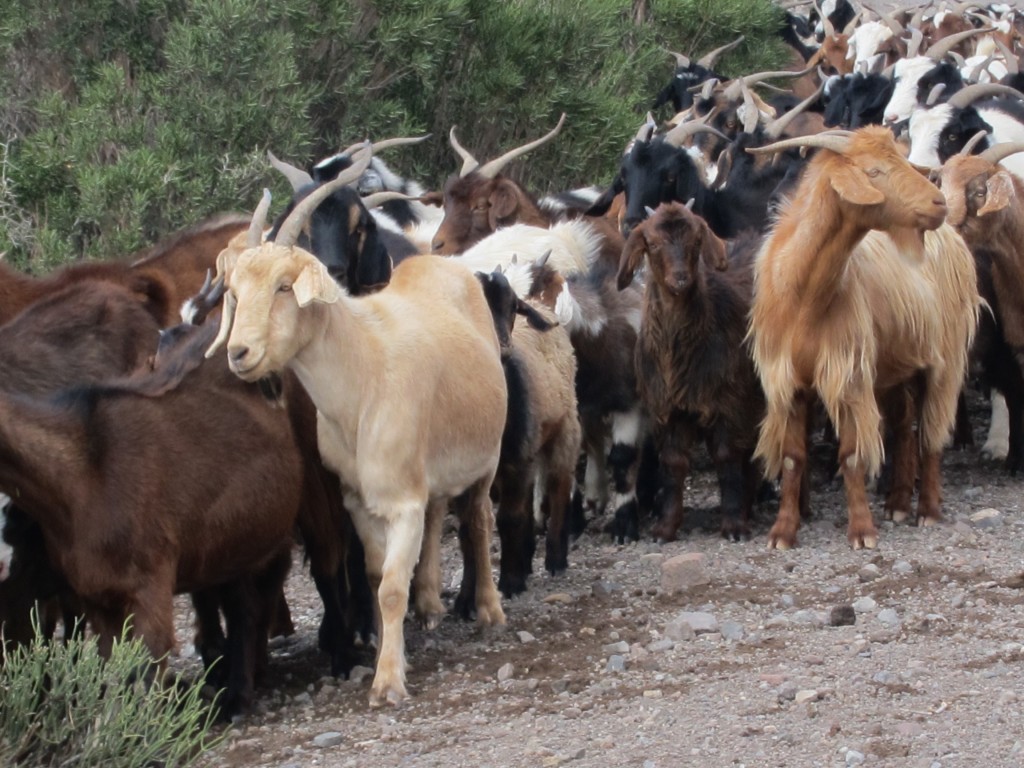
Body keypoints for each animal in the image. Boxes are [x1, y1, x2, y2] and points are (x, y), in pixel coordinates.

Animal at [206, 151, 507, 708]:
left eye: (285, 286)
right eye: (235, 292)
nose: (240, 353)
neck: (364, 368)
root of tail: (440, 262)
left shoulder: (401, 501)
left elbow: (389, 587)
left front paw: (387, 682)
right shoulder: (356, 497)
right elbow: (372, 575)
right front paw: (394, 653)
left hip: (488, 454)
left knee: (478, 519)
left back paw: (490, 610)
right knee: (440, 511)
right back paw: (430, 603)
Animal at [749, 126, 978, 548]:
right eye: (873, 171)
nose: (937, 203)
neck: (802, 294)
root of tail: (953, 236)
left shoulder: (849, 375)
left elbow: (853, 456)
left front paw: (862, 530)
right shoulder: (788, 382)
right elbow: (792, 458)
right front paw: (783, 531)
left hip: (945, 358)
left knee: (932, 433)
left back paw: (928, 509)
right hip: (895, 366)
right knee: (905, 428)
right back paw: (898, 502)